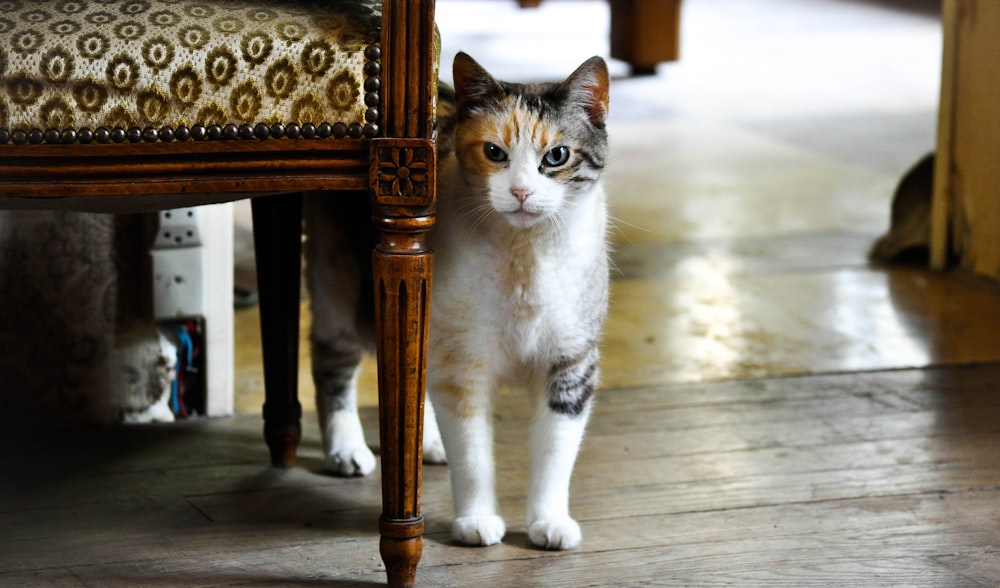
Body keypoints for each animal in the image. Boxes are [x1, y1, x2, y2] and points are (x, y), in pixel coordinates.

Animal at [300, 51, 608, 552]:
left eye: (557, 156)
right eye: (495, 153)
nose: (521, 191)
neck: (526, 256)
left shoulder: (571, 362)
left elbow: (555, 453)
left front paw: (549, 521)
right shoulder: (464, 363)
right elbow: (473, 453)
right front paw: (476, 521)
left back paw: (422, 440)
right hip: (340, 284)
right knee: (332, 361)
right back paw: (346, 448)